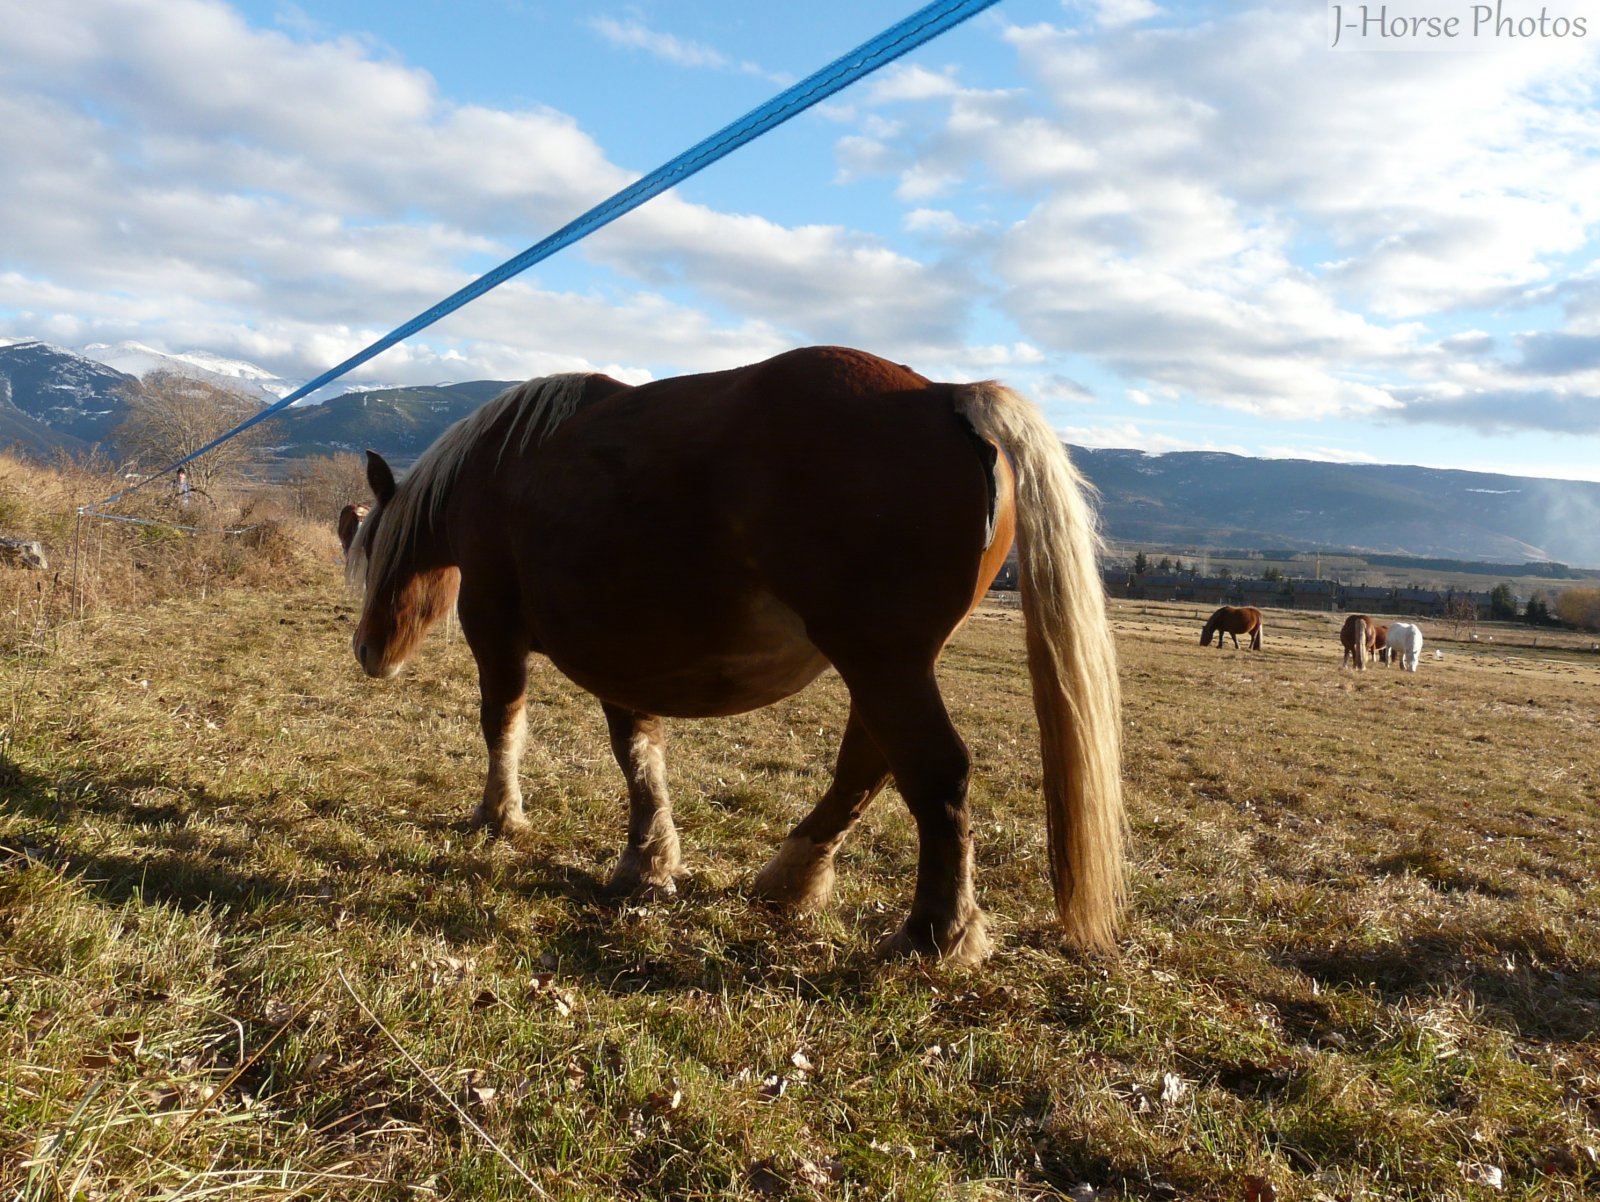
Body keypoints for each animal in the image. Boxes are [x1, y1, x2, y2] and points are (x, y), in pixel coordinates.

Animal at [350, 342, 1126, 966]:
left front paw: (500, 816)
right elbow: (639, 752)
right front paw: (647, 861)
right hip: (886, 668)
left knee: (936, 773)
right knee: (867, 768)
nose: (368, 653)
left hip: (883, 663)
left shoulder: (497, 632)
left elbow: (503, 725)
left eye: (372, 548)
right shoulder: (621, 654)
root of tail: (946, 394)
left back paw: (935, 933)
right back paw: (793, 879)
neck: (494, 471)